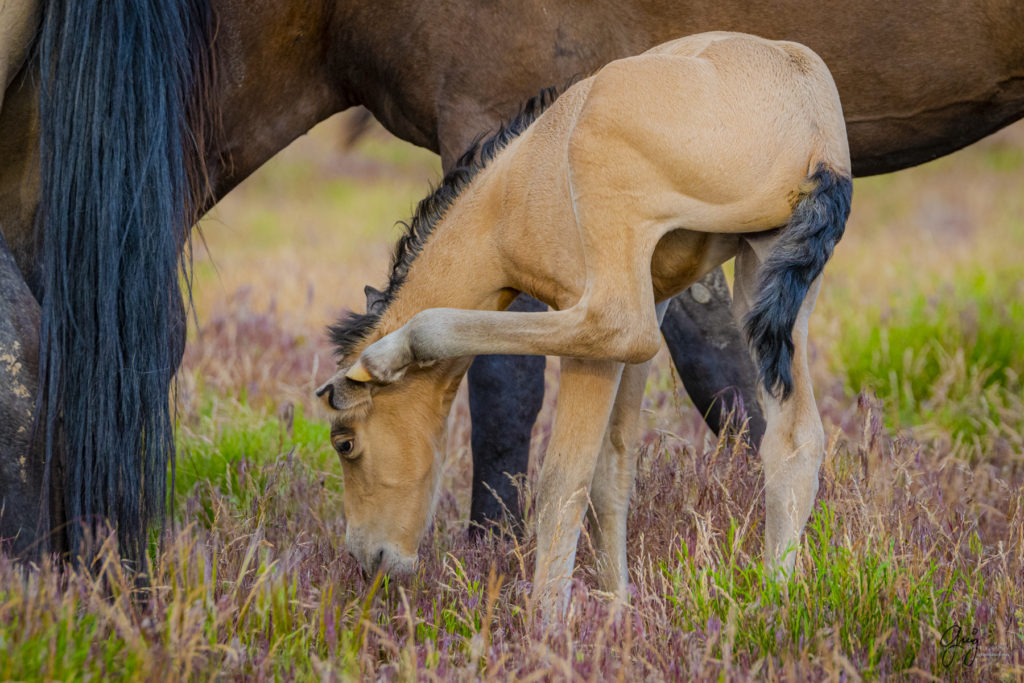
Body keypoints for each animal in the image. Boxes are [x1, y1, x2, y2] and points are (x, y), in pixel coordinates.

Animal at [2, 0, 1024, 561]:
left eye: (343, 443)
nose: (68, 566)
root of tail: (810, 114)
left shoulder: (499, 109)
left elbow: (506, 386)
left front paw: (491, 555)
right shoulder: (678, 258)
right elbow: (708, 391)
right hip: (761, 250)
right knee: (780, 400)